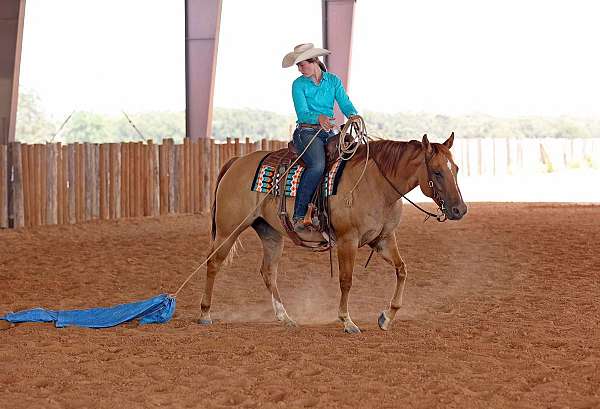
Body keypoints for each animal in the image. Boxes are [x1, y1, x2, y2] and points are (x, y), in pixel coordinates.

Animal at [199, 132, 466, 334]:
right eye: (437, 172)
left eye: (456, 169)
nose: (459, 209)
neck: (376, 184)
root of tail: (236, 162)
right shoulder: (348, 240)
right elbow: (346, 280)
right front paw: (347, 321)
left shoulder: (383, 239)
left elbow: (402, 270)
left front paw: (386, 317)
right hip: (228, 230)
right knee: (213, 263)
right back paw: (205, 313)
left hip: (270, 233)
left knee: (268, 272)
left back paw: (285, 318)